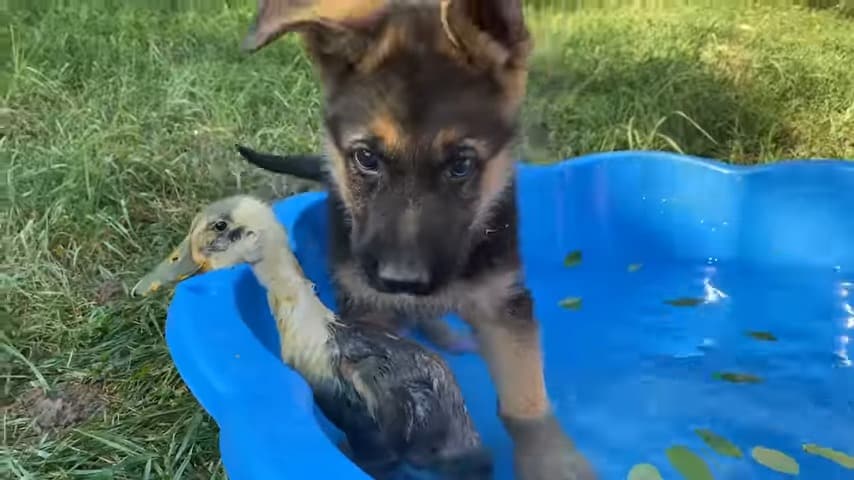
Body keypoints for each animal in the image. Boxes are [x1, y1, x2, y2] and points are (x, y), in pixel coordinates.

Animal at [241, 1, 600, 478]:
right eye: (366, 158)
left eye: (461, 165)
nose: (402, 281)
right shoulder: (369, 310)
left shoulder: (502, 304)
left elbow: (525, 403)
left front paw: (552, 460)